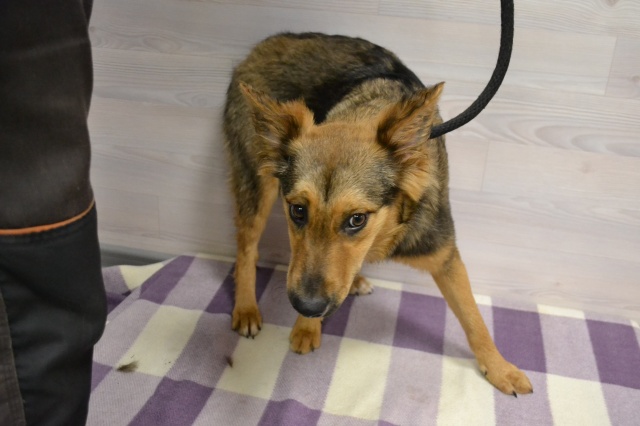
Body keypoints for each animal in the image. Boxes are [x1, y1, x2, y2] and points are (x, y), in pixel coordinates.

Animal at [223, 32, 532, 396]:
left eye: (357, 219)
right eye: (298, 211)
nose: (306, 307)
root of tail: (265, 44)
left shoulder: (445, 255)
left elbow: (474, 318)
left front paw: (499, 368)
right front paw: (307, 326)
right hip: (258, 185)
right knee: (246, 249)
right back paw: (246, 307)